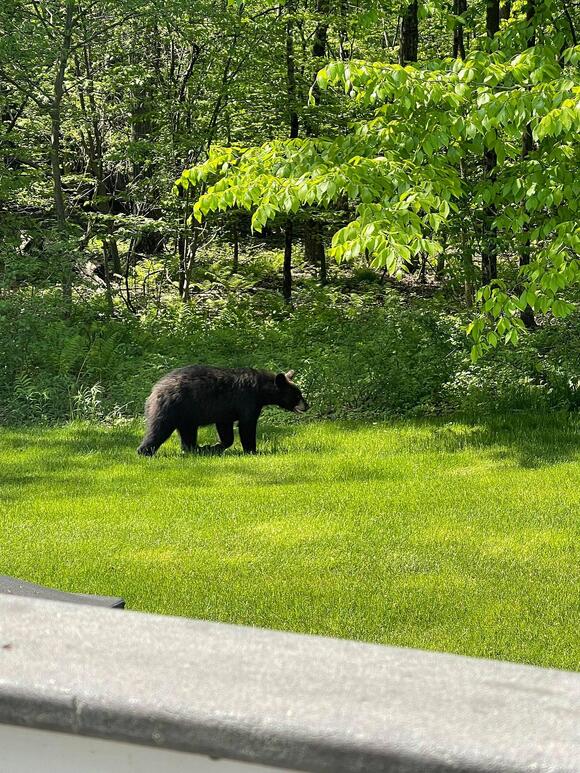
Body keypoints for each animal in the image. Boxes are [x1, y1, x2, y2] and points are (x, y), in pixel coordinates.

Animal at [137, 365, 309, 456]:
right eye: (297, 395)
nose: (307, 406)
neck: (261, 390)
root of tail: (154, 391)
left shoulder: (224, 411)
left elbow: (226, 430)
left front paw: (214, 446)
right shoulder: (247, 400)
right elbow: (247, 425)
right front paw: (252, 451)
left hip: (186, 415)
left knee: (188, 433)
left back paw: (197, 449)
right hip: (171, 408)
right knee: (159, 429)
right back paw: (145, 451)